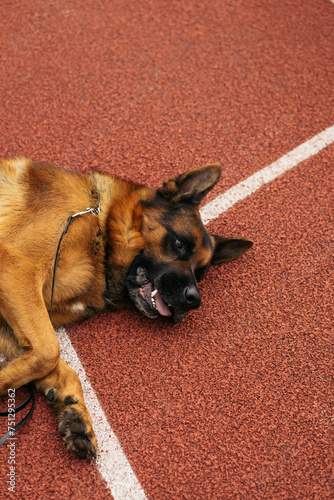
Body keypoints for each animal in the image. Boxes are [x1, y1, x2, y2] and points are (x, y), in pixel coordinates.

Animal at [0, 158, 250, 458]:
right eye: (178, 243)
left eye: (199, 274)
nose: (194, 300)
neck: (101, 228)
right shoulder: (16, 269)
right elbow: (49, 349)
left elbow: (53, 361)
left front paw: (72, 409)